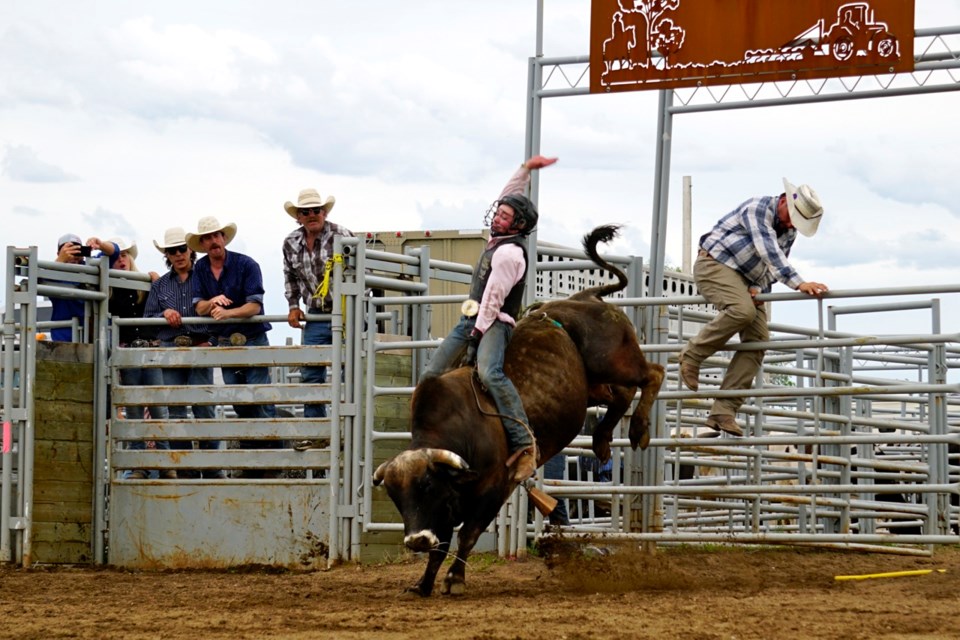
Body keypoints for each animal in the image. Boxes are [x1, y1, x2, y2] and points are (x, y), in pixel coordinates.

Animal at [372, 224, 664, 596]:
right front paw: (424, 583)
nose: (415, 540)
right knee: (621, 396)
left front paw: (455, 579)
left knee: (653, 374)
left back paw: (638, 429)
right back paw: (600, 441)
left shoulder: (495, 489)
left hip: (615, 361)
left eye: (426, 485)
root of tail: (585, 298)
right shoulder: (448, 506)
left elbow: (468, 535)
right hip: (594, 384)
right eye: (395, 495)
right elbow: (442, 543)